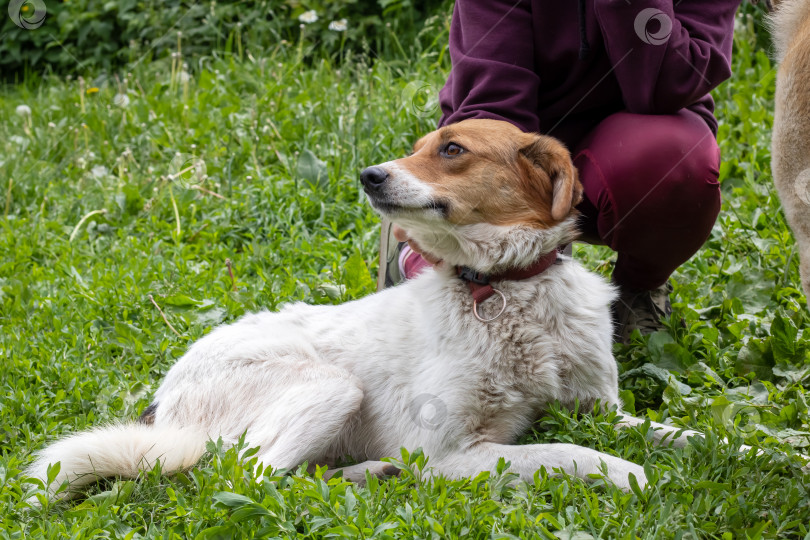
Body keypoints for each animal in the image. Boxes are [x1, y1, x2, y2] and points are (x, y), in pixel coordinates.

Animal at [25, 118, 696, 498]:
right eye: (418, 147)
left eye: (452, 150)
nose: (369, 175)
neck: (505, 288)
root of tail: (161, 404)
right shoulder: (448, 451)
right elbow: (565, 452)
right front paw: (630, 475)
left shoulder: (598, 409)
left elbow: (679, 433)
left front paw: (719, 449)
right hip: (332, 385)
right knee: (239, 479)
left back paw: (369, 474)